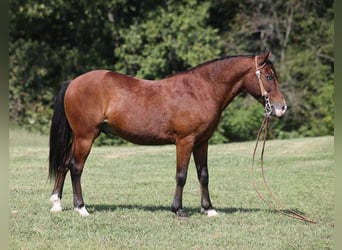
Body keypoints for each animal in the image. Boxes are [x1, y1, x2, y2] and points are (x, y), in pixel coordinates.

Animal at [49, 51, 288, 217]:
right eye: (269, 76)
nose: (282, 107)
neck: (200, 91)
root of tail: (73, 82)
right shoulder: (185, 141)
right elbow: (181, 175)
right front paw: (178, 209)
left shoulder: (202, 142)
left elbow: (203, 175)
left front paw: (209, 209)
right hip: (86, 137)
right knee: (76, 168)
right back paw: (81, 208)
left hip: (78, 137)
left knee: (64, 163)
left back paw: (56, 204)